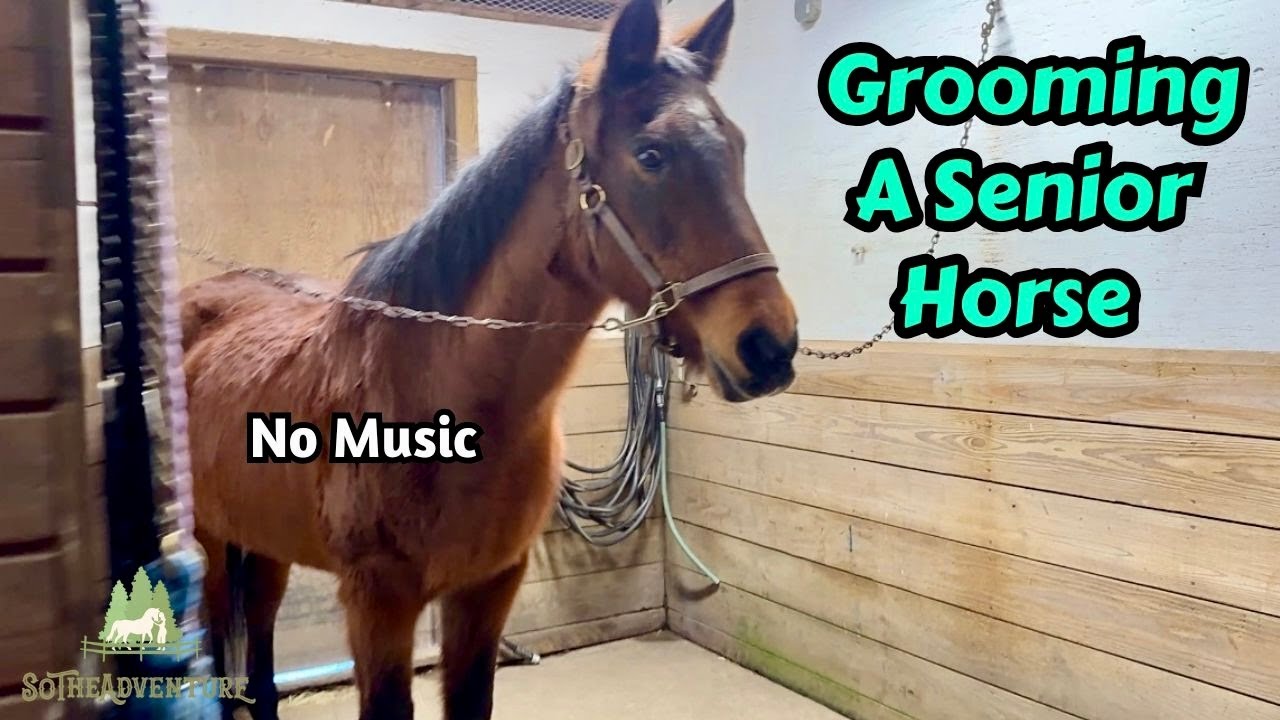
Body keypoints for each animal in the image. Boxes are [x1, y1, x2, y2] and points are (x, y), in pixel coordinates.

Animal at [179, 1, 797, 718]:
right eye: (651, 155)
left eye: (738, 147)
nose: (770, 345)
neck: (437, 397)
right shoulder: (378, 602)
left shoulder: (487, 589)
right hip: (211, 539)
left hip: (266, 544)